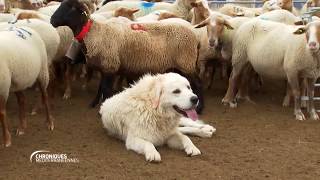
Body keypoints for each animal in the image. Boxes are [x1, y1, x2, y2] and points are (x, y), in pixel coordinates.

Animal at [51, 0, 204, 111]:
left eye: (71, 8)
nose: (52, 20)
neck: (94, 32)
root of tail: (195, 37)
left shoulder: (110, 66)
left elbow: (106, 89)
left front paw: (104, 106)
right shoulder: (106, 66)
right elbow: (100, 88)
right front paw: (94, 103)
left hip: (186, 62)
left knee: (198, 84)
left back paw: (200, 108)